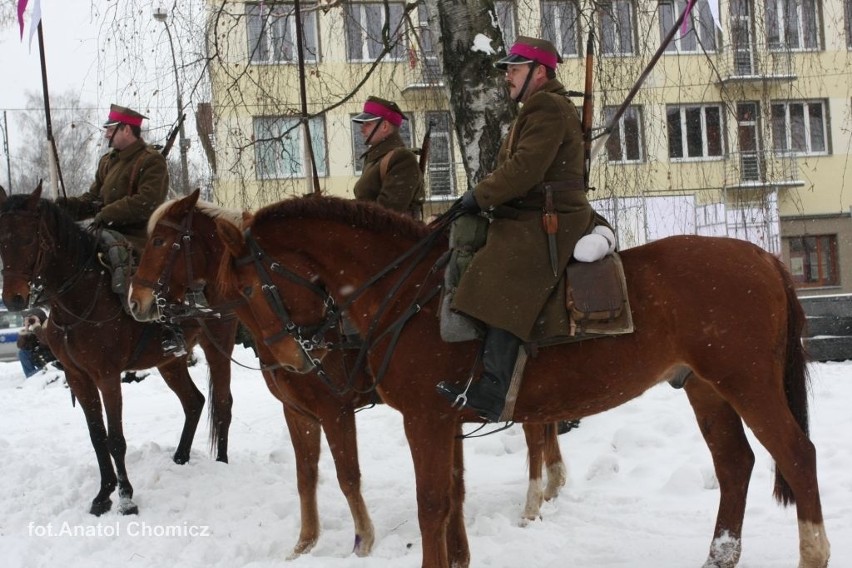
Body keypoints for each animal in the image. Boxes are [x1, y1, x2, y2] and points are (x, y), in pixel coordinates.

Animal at [0, 184, 238, 516]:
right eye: (1, 241)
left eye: (27, 238)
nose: (14, 299)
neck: (78, 300)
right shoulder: (77, 377)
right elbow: (97, 435)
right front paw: (103, 495)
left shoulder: (108, 376)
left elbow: (115, 438)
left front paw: (126, 499)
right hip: (169, 362)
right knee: (194, 401)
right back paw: (179, 458)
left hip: (218, 345)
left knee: (223, 404)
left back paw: (222, 462)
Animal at [125, 191, 572, 556]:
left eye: (159, 241)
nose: (136, 301)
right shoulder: (297, 412)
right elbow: (306, 475)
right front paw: (304, 545)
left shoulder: (334, 409)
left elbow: (347, 475)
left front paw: (363, 541)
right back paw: (552, 484)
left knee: (535, 433)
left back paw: (534, 500)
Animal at [200, 196, 824, 568]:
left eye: (249, 289)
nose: (292, 361)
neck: (404, 294)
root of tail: (764, 259)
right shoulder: (446, 421)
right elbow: (452, 498)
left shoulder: (425, 420)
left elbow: (432, 503)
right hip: (705, 388)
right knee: (735, 464)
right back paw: (720, 554)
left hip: (747, 384)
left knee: (796, 454)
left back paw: (812, 552)